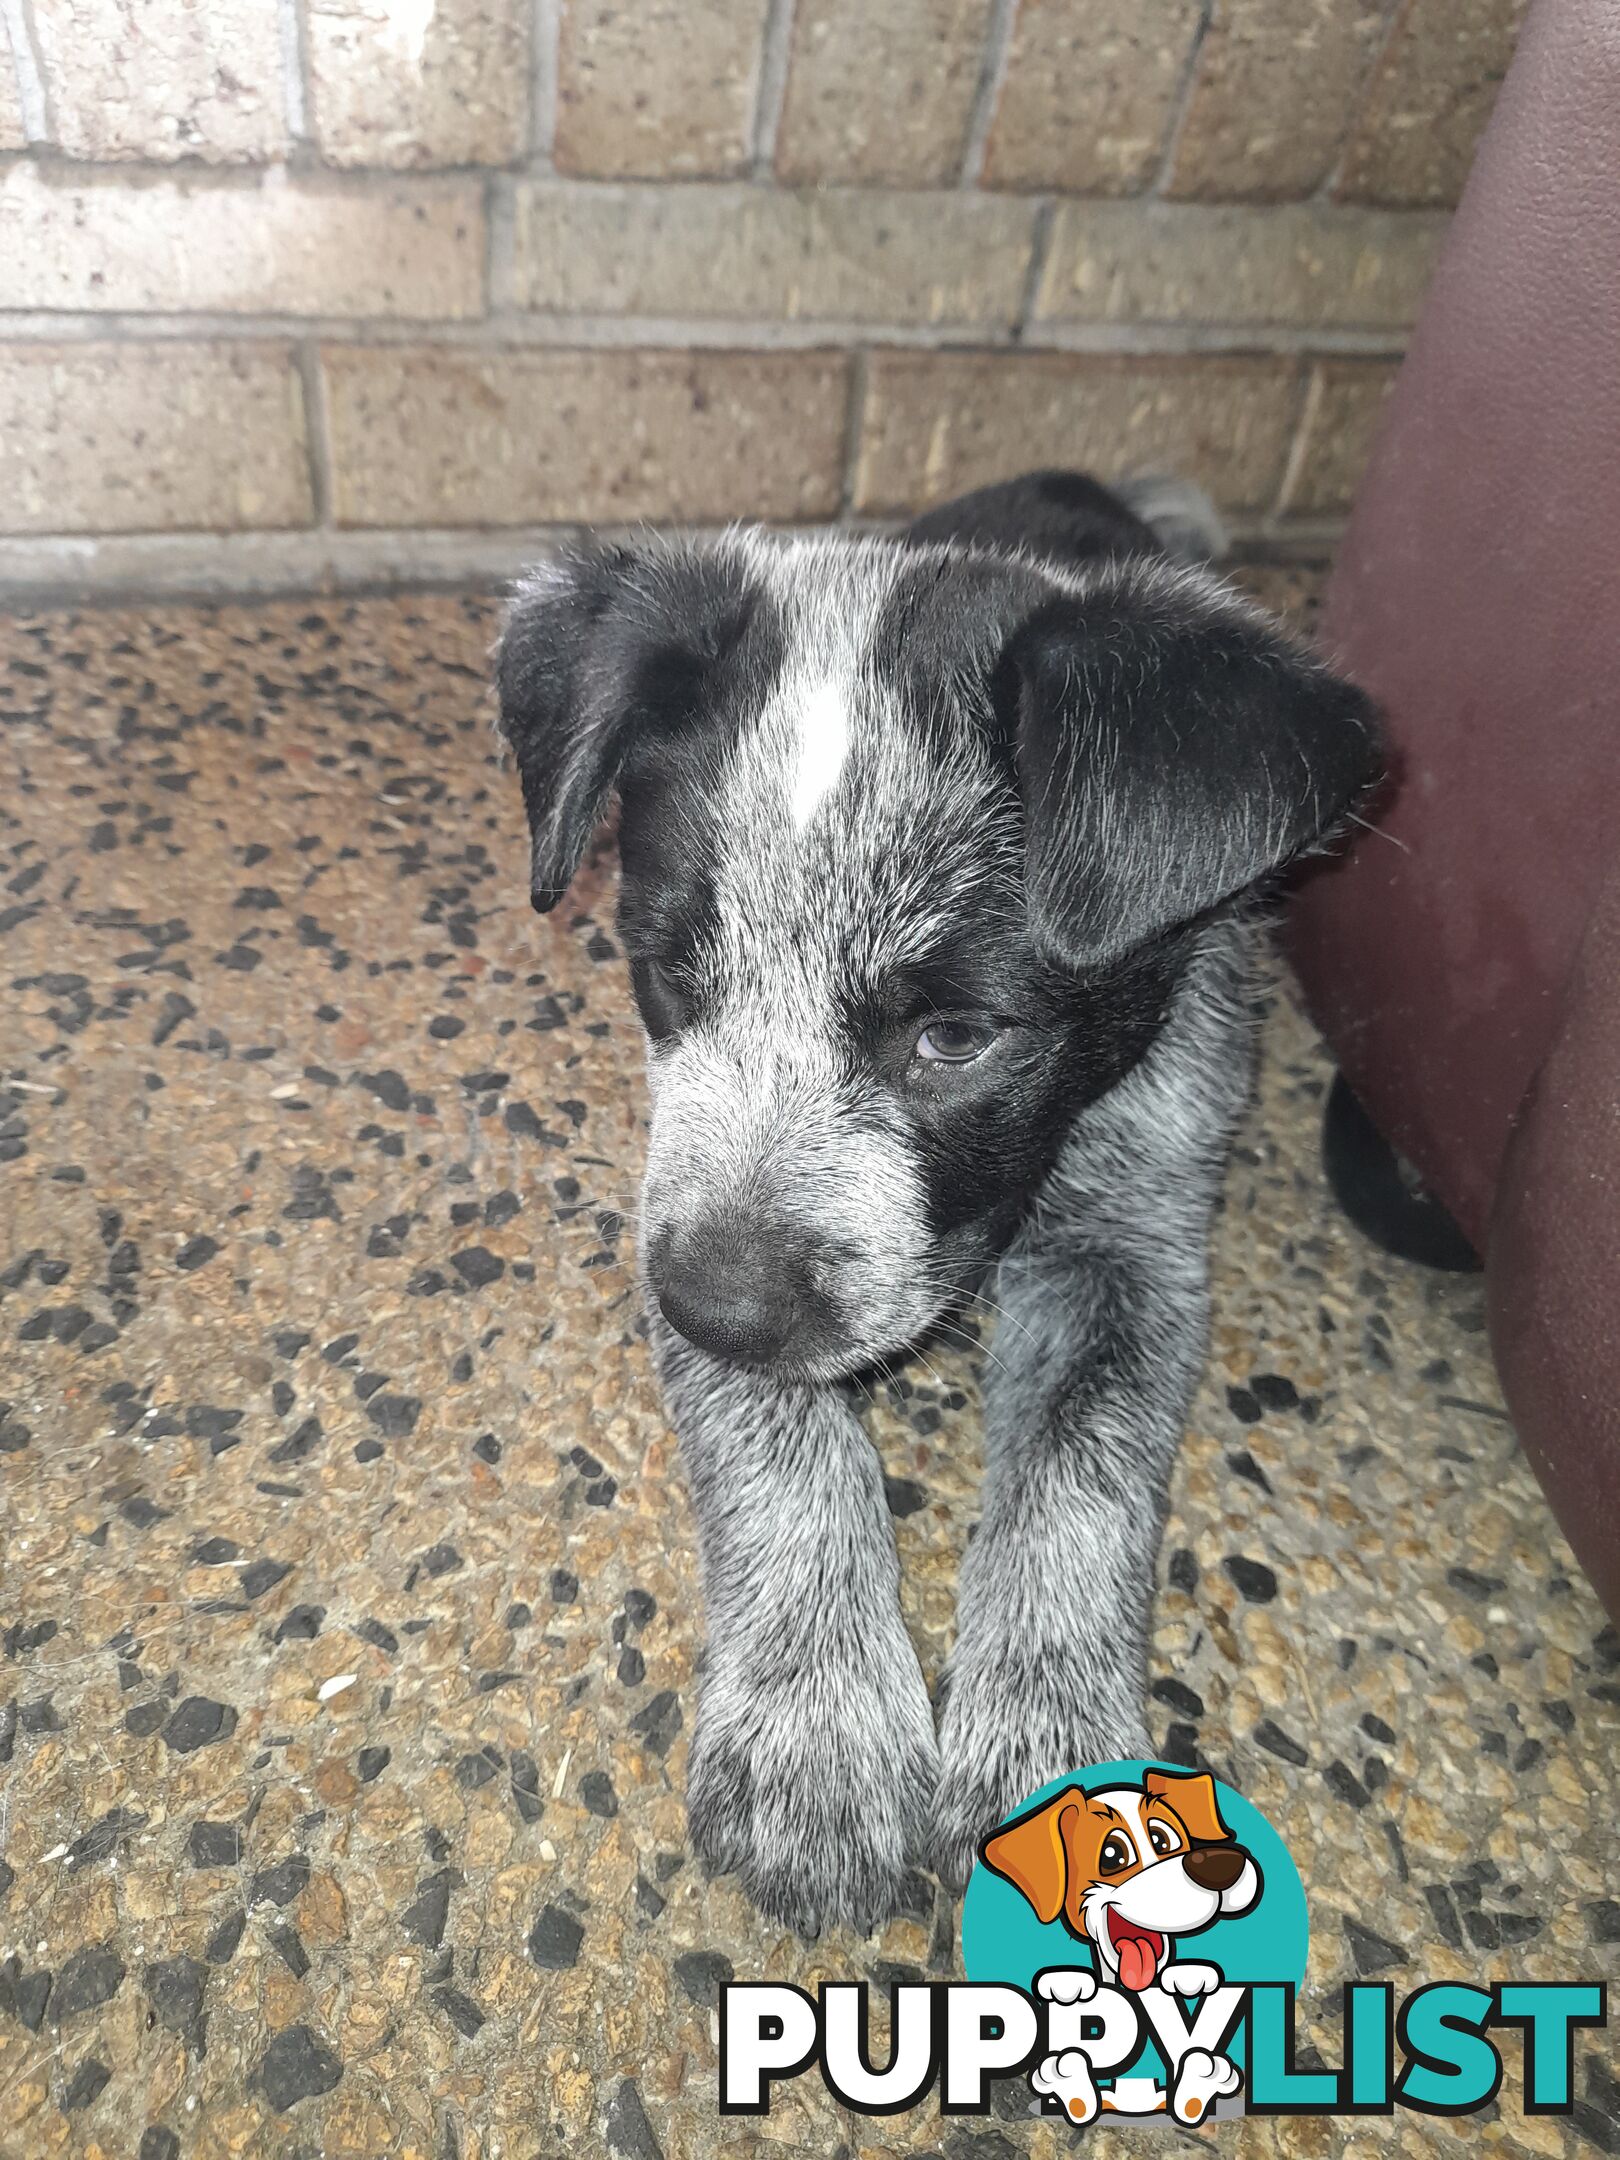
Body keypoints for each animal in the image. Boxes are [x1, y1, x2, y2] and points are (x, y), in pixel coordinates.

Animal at [494, 473, 1382, 1944]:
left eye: (959, 1037)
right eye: (671, 969)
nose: (714, 1309)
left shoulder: (1135, 1240)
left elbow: (1079, 1484)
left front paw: (1064, 1770)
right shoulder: (679, 1211)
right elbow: (789, 1457)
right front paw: (815, 1732)